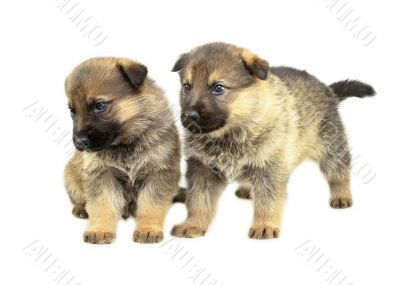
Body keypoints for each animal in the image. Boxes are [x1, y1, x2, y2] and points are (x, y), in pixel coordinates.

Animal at [63, 57, 181, 244]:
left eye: (100, 105)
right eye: (72, 111)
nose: (80, 143)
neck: (126, 143)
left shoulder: (158, 173)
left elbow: (151, 205)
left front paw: (147, 228)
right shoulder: (101, 175)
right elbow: (102, 205)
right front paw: (100, 229)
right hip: (69, 176)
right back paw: (82, 208)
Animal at [170, 41, 376, 237]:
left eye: (218, 88)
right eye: (187, 87)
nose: (189, 115)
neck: (232, 132)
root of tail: (327, 89)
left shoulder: (269, 167)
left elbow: (268, 200)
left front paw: (264, 225)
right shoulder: (201, 168)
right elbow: (198, 201)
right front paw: (193, 224)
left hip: (330, 145)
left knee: (338, 172)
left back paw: (341, 195)